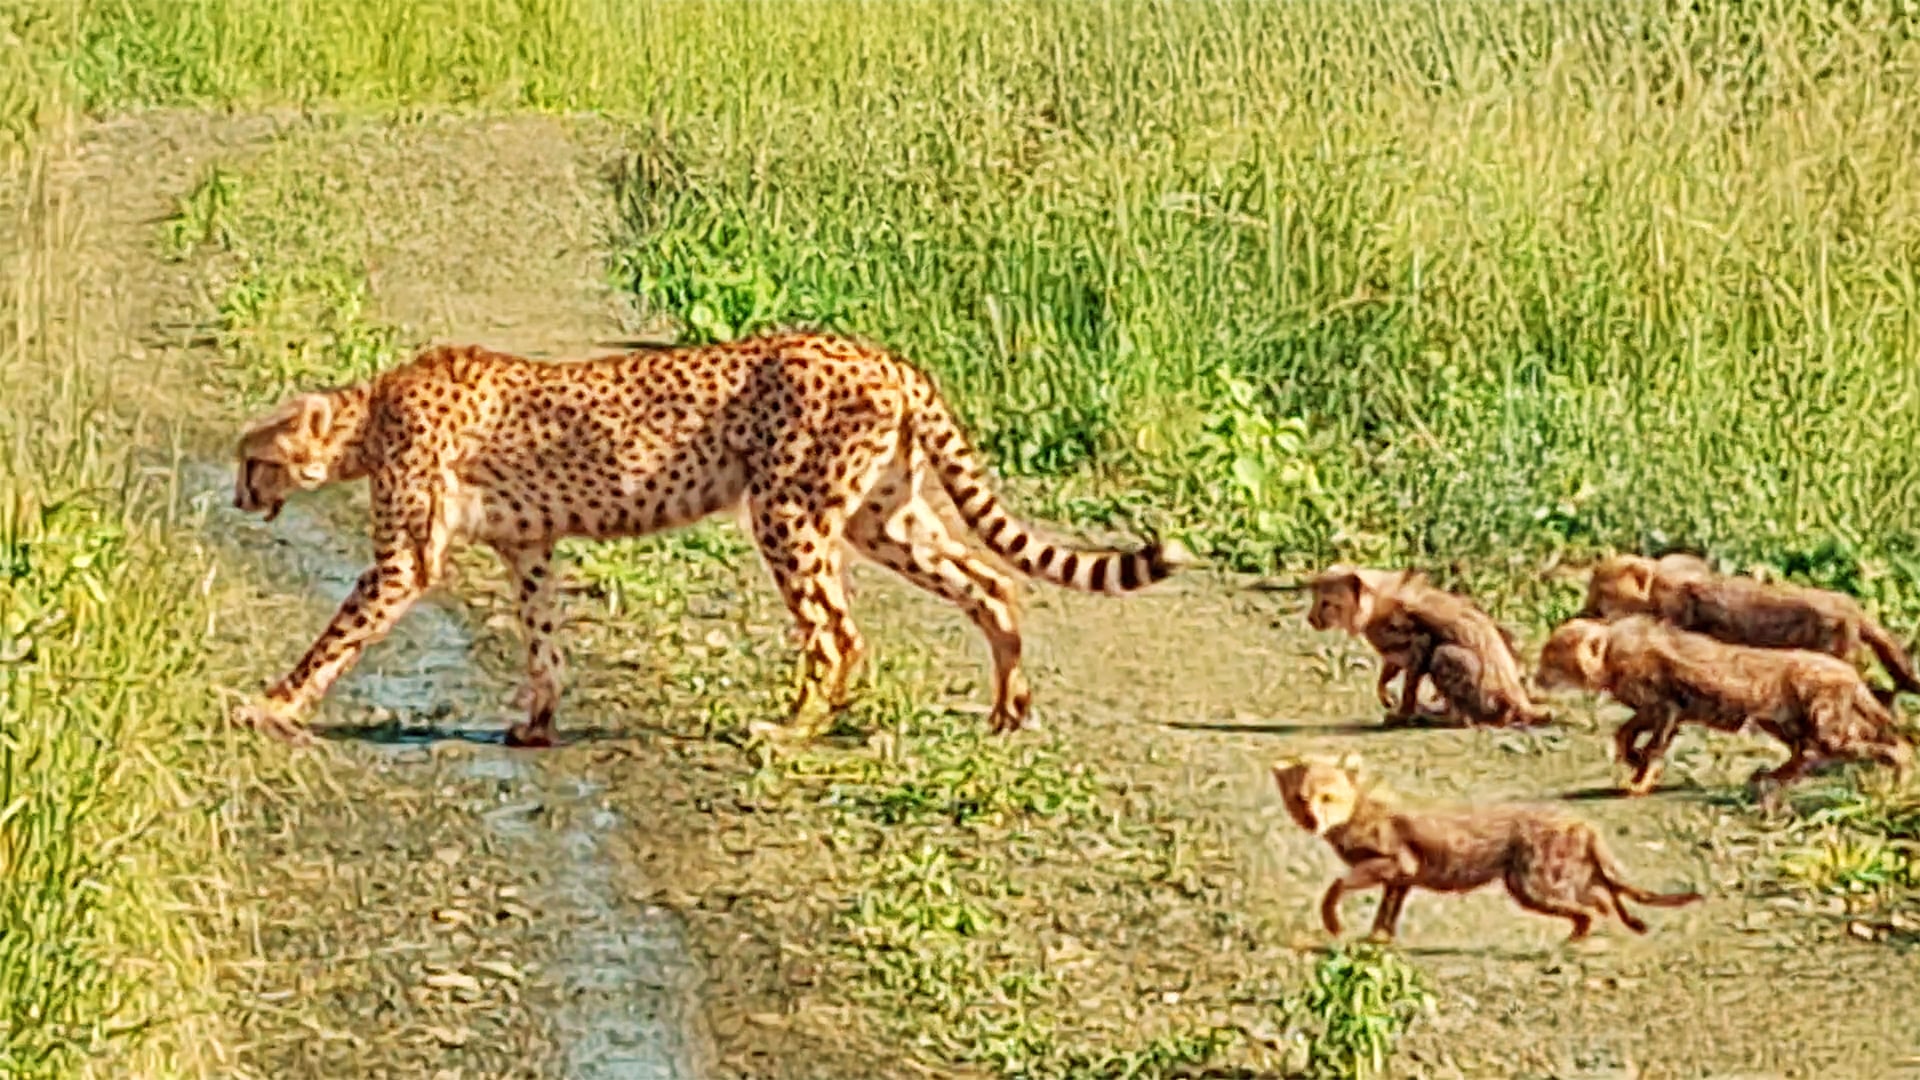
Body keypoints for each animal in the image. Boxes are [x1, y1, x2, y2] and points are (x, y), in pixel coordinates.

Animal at [231, 331, 1191, 748]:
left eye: (251, 459)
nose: (235, 495)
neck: (368, 416)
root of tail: (883, 354)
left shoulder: (405, 559)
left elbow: (335, 637)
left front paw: (273, 703)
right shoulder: (529, 549)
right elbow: (544, 641)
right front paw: (537, 723)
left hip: (789, 513)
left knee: (839, 633)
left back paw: (794, 728)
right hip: (881, 517)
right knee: (992, 582)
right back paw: (1007, 707)